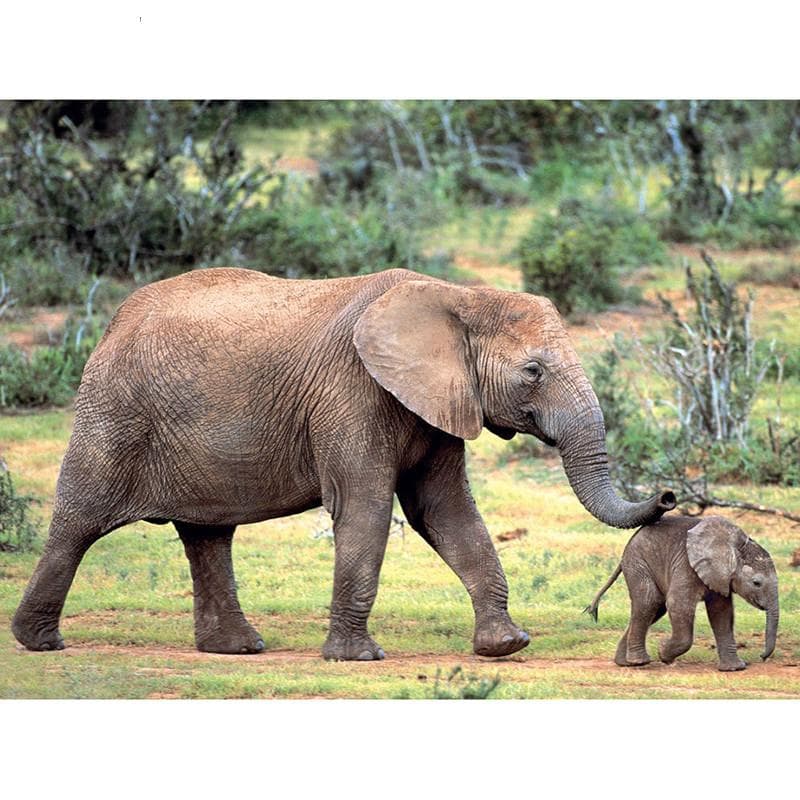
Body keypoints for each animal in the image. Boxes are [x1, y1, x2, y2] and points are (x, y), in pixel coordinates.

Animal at [12, 267, 675, 660]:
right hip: (113, 410)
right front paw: (358, 657)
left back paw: (237, 649)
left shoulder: (433, 400)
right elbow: (367, 510)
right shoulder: (352, 392)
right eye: (533, 371)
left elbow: (447, 514)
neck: (455, 294)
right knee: (79, 521)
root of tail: (111, 323)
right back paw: (40, 643)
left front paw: (506, 646)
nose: (669, 497)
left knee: (208, 534)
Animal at [585, 514, 779, 671]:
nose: (761, 657)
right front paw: (663, 653)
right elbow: (679, 604)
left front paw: (734, 669)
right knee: (649, 602)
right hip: (638, 563)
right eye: (756, 583)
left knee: (655, 609)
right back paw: (640, 662)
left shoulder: (719, 576)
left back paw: (624, 663)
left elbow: (722, 613)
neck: (735, 546)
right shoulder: (686, 565)